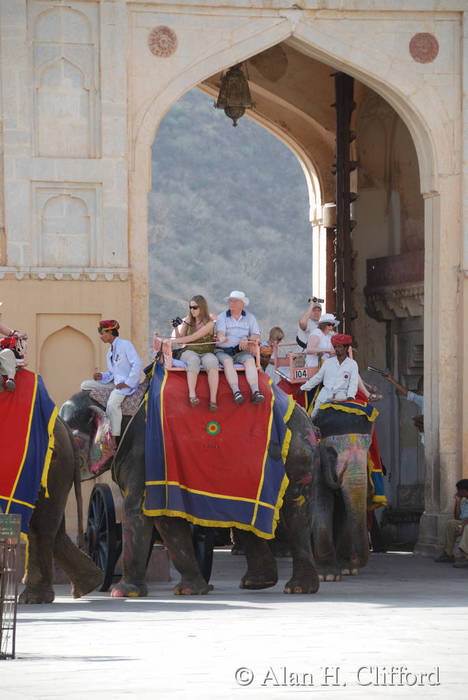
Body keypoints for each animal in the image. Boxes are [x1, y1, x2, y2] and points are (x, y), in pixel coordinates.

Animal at [60, 388, 340, 596]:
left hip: (297, 456)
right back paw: (257, 583)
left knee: (295, 514)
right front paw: (192, 590)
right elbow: (165, 517)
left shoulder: (146, 454)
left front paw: (123, 592)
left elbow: (140, 511)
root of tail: (306, 417)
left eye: (71, 436)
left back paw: (298, 588)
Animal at [310, 404, 372, 580]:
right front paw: (327, 575)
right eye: (331, 452)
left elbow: (345, 509)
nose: (356, 560)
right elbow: (321, 504)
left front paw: (347, 570)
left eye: (368, 449)